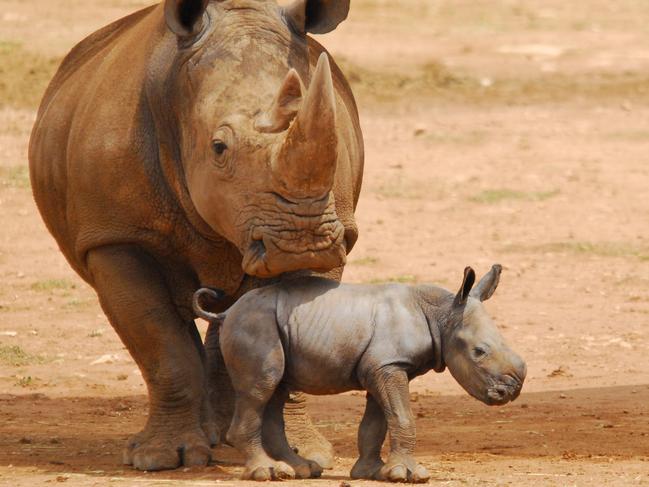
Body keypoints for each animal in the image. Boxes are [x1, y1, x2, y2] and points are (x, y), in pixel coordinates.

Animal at [194, 266, 528, 484]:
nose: (510, 392)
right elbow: (402, 416)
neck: (442, 313)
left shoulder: (383, 367)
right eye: (479, 352)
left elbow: (377, 422)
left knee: (275, 390)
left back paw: (301, 470)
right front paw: (409, 475)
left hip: (270, 322)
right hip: (254, 323)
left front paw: (372, 473)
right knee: (261, 388)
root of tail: (227, 311)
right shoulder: (389, 365)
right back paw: (267, 473)